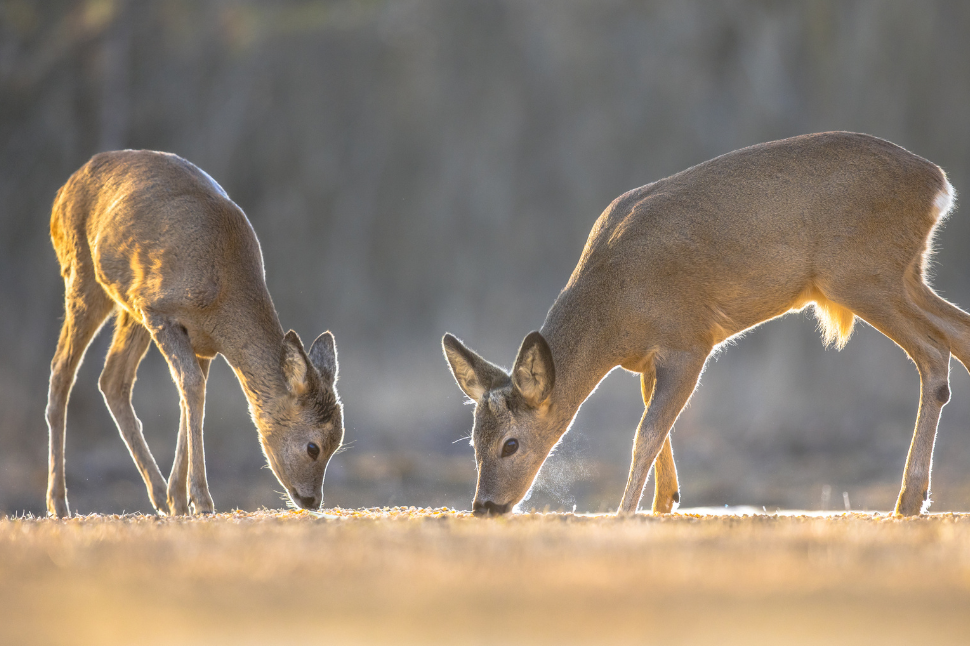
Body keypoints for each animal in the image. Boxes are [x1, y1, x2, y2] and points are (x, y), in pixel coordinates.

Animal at [46, 150, 344, 518]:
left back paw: (159, 495)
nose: (312, 500)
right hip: (83, 275)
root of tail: (61, 193)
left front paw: (179, 499)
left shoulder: (202, 341)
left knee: (112, 379)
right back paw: (58, 503)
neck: (223, 292)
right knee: (62, 371)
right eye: (313, 447)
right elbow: (191, 385)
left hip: (128, 304)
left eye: (338, 444)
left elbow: (192, 393)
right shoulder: (159, 310)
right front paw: (200, 500)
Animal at [442, 131, 967, 518]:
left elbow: (646, 432)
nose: (484, 506)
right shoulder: (648, 361)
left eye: (510, 444)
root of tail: (939, 184)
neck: (614, 312)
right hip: (903, 274)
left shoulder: (689, 339)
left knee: (934, 352)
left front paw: (625, 512)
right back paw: (914, 496)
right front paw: (664, 503)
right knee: (959, 332)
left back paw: (908, 499)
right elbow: (657, 429)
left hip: (862, 274)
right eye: (472, 441)